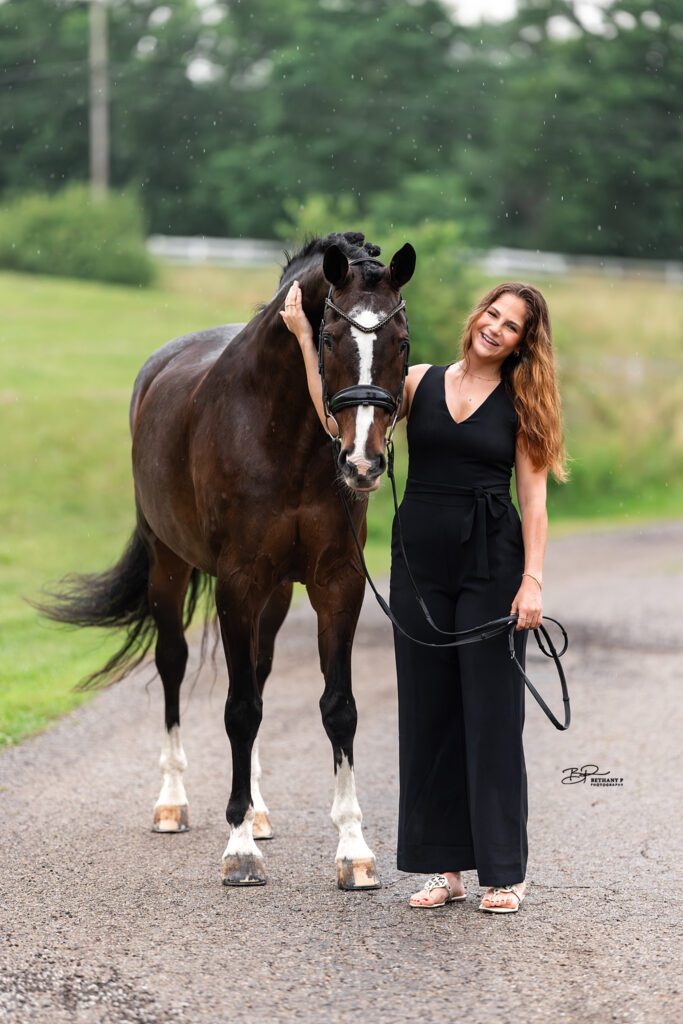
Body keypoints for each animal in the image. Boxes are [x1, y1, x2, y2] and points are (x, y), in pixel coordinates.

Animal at [42, 231, 416, 890]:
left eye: (400, 341)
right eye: (328, 338)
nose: (363, 463)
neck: (283, 432)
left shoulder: (335, 583)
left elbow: (337, 710)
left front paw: (353, 850)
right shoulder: (237, 584)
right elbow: (239, 710)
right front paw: (239, 849)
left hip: (276, 596)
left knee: (260, 673)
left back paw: (260, 811)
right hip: (169, 566)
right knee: (173, 666)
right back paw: (172, 804)